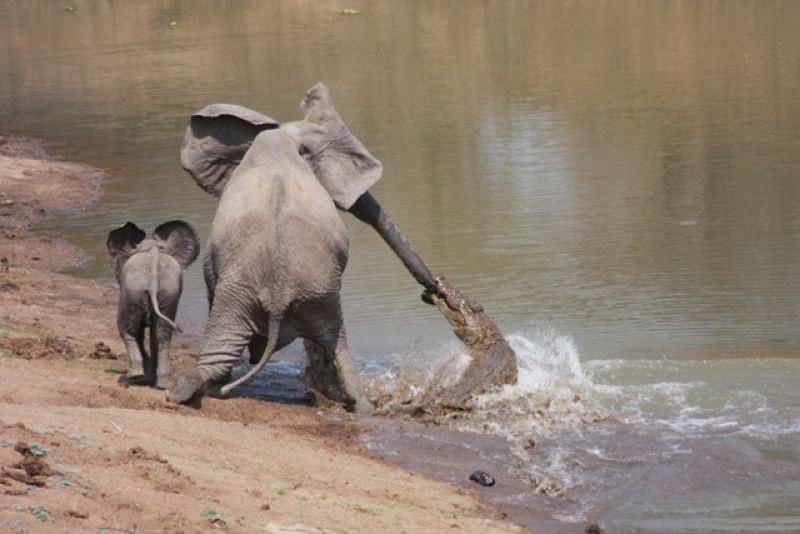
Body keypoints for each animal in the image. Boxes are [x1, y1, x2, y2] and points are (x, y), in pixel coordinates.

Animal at [107, 220, 199, 389]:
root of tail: (154, 281)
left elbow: (139, 332)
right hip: (168, 293)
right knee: (162, 334)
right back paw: (162, 383)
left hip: (134, 290)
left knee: (127, 329)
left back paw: (132, 376)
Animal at [167, 82, 436, 413]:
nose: (430, 293)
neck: (283, 136)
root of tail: (277, 296)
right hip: (294, 292)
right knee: (333, 342)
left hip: (280, 293)